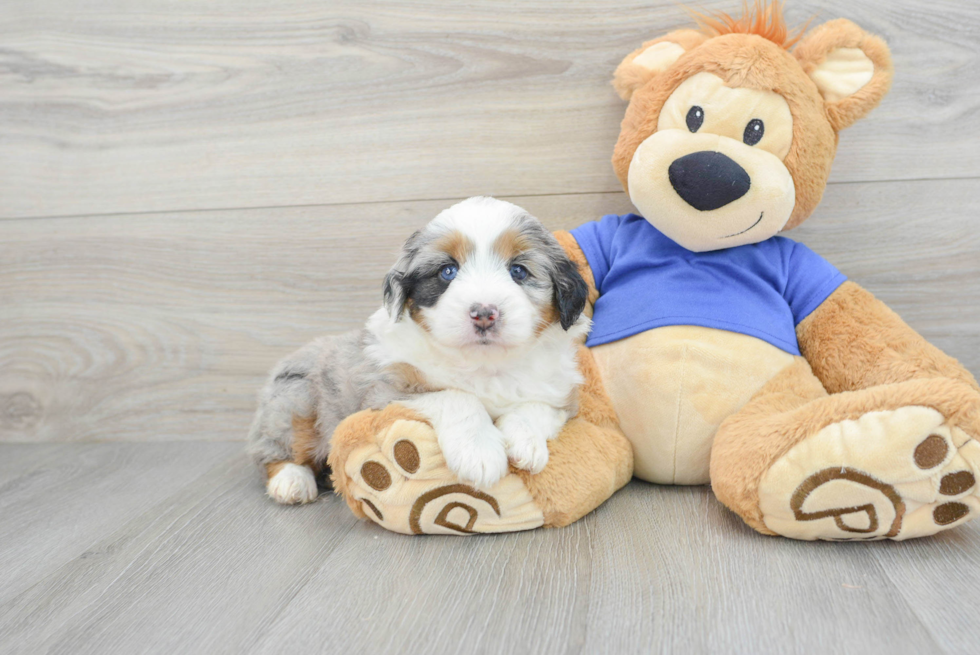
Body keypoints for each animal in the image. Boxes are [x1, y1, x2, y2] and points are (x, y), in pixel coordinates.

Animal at [247, 197, 588, 504]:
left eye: (518, 271)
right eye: (448, 271)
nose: (483, 313)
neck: (484, 364)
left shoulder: (561, 396)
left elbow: (536, 407)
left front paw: (525, 443)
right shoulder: (384, 393)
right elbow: (456, 397)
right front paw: (479, 452)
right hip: (295, 401)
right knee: (275, 450)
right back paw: (292, 481)